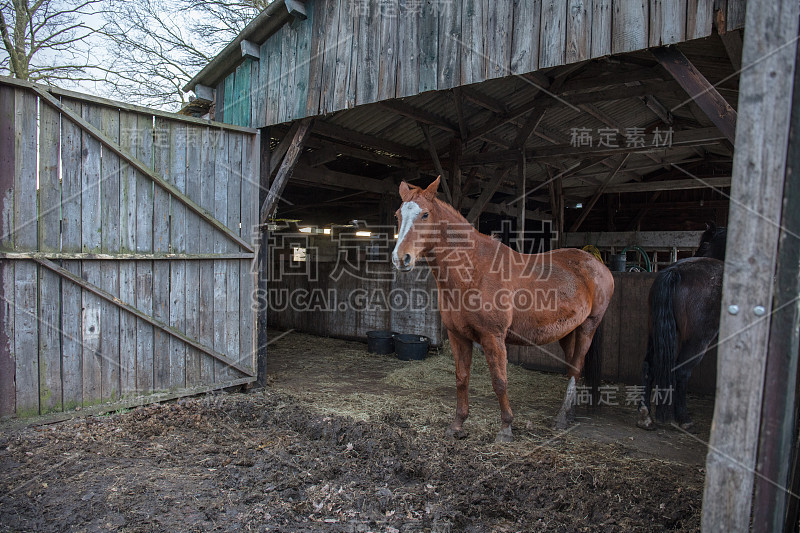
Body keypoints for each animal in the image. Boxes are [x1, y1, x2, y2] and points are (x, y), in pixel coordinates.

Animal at [392, 179, 612, 440]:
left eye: (425, 214)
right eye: (398, 215)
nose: (400, 258)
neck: (473, 270)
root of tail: (597, 264)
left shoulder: (493, 337)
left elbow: (499, 381)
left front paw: (506, 428)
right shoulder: (458, 337)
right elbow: (461, 378)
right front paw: (457, 424)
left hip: (589, 325)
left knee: (576, 369)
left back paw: (561, 418)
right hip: (568, 331)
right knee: (571, 369)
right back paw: (569, 415)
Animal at [636, 222, 724, 430]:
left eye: (705, 243)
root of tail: (674, 272)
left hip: (655, 331)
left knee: (648, 365)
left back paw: (645, 415)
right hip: (698, 340)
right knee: (682, 371)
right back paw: (684, 418)